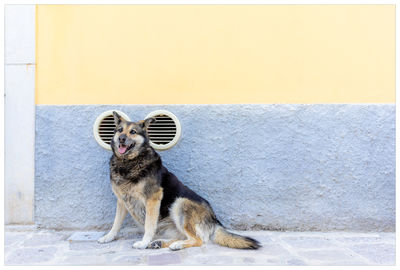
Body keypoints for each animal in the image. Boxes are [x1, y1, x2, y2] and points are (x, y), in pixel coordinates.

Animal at [98, 110, 260, 250]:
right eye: (119, 130)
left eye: (133, 132)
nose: (121, 139)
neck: (128, 162)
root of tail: (214, 220)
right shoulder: (122, 200)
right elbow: (116, 223)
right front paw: (109, 237)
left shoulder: (152, 199)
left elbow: (149, 225)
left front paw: (143, 242)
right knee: (184, 236)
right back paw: (160, 243)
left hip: (179, 204)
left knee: (198, 240)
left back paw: (177, 245)